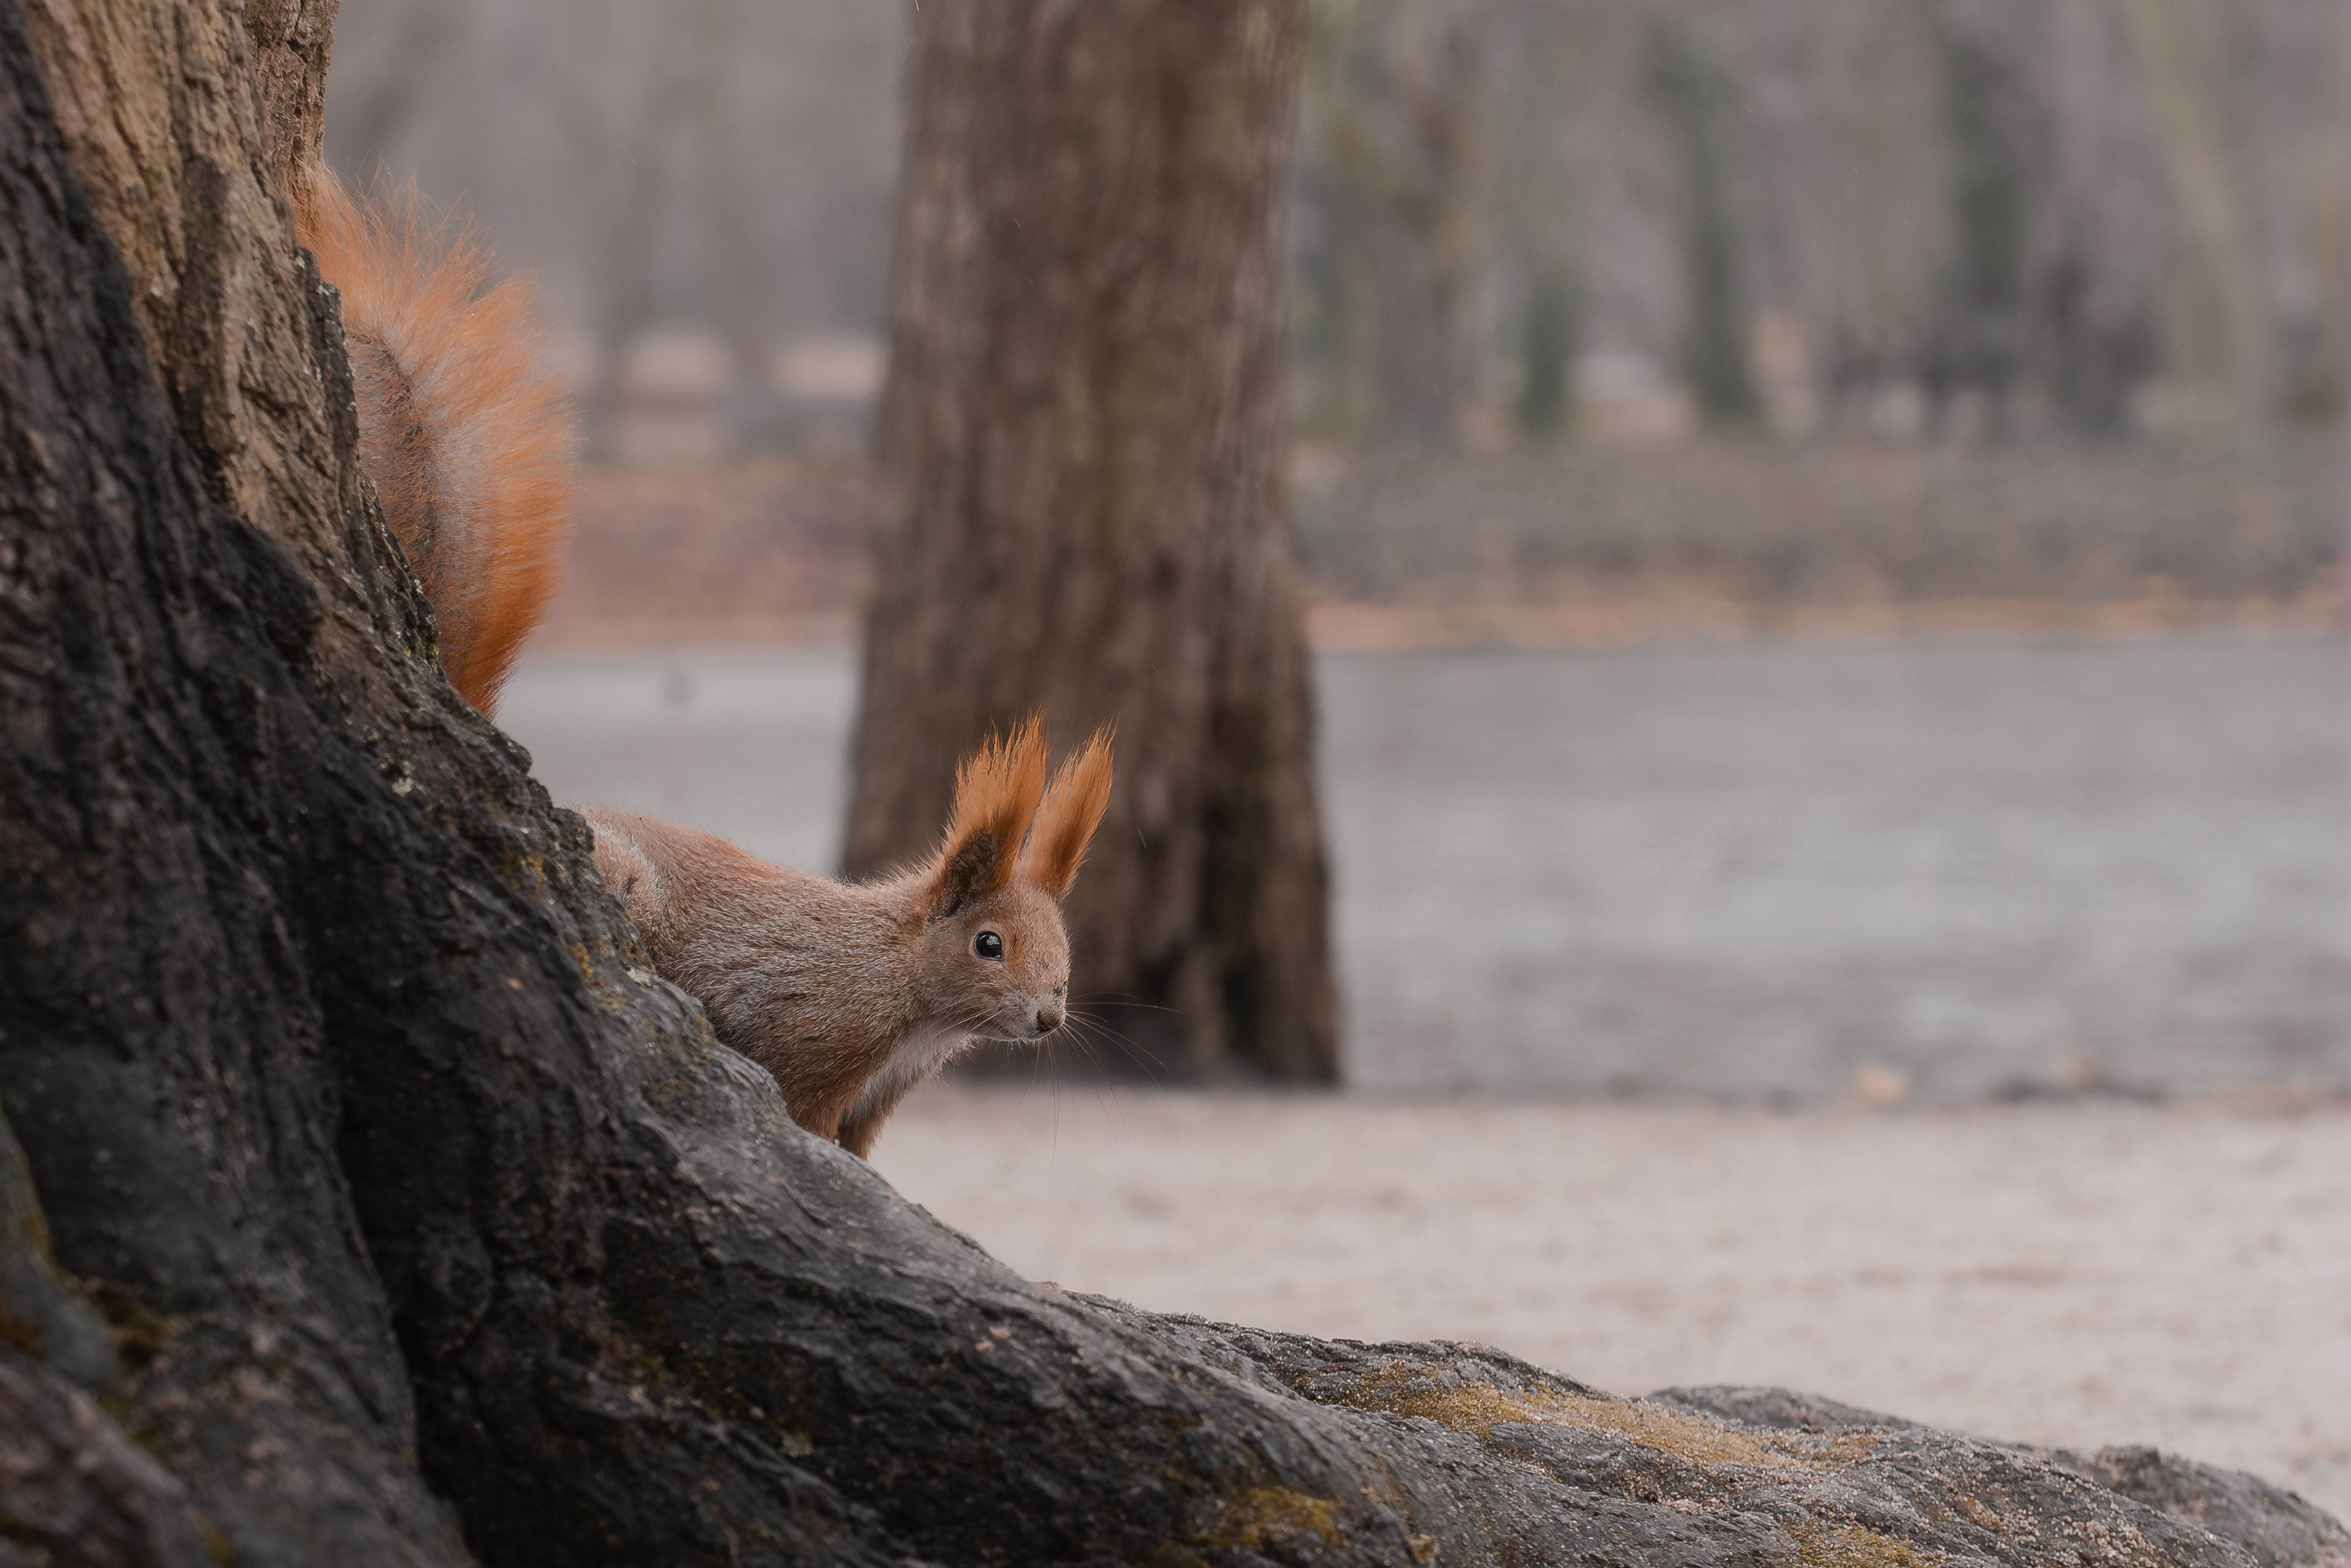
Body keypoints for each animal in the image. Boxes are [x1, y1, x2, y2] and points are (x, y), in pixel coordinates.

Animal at [297, 167, 1115, 1158]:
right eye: (988, 943)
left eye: (1063, 939)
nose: (1048, 1013)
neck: (904, 986)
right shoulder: (813, 1037)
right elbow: (803, 1112)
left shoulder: (875, 1102)